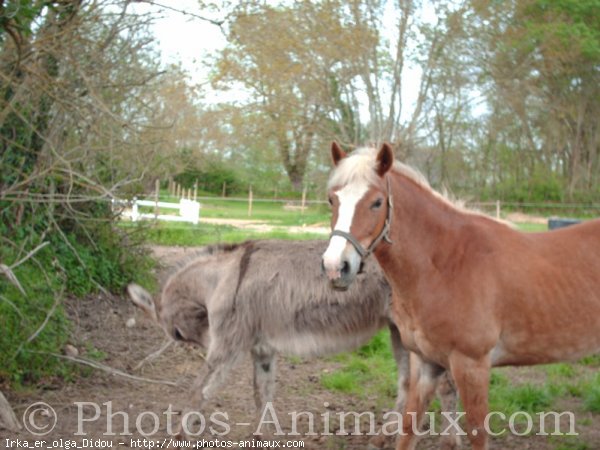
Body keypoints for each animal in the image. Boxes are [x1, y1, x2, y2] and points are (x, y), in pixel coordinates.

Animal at [324, 142, 600, 448]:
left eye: (376, 202)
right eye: (332, 200)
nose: (336, 267)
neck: (448, 264)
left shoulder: (472, 366)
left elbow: (477, 432)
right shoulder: (425, 363)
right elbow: (408, 428)